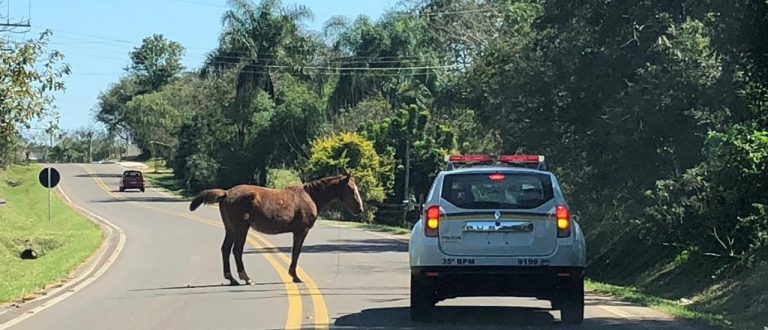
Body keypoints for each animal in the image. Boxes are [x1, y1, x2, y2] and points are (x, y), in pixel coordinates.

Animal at [189, 174, 364, 284]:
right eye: (351, 189)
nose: (360, 209)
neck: (310, 197)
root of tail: (225, 193)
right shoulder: (301, 231)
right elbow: (296, 252)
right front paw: (295, 276)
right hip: (241, 228)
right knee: (236, 250)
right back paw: (246, 278)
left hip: (230, 228)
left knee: (225, 249)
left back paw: (232, 279)